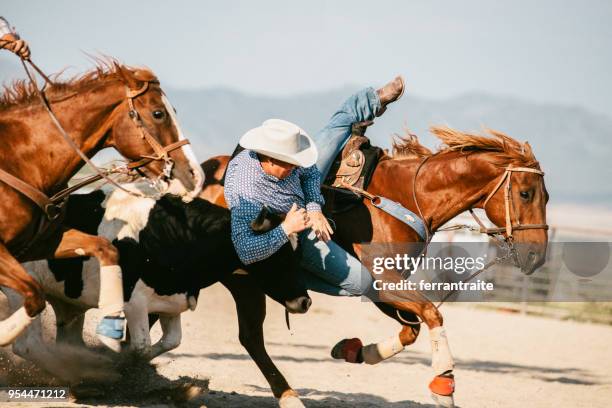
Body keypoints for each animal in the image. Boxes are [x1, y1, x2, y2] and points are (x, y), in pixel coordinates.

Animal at [0, 59, 206, 348]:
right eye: (158, 113)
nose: (195, 176)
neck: (19, 162)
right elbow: (34, 294)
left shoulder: (40, 244)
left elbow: (105, 249)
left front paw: (111, 323)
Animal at [201, 126, 548, 406]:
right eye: (525, 193)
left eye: (546, 196)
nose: (537, 257)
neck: (404, 196)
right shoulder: (383, 281)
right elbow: (432, 314)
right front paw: (444, 383)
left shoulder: (381, 287)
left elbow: (412, 329)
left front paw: (355, 351)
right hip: (245, 282)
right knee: (251, 338)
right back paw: (288, 397)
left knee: (250, 337)